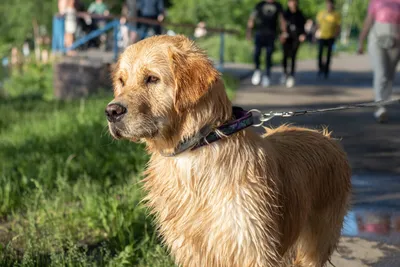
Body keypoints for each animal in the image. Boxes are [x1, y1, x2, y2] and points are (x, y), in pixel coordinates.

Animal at [105, 35, 350, 267]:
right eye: (122, 81)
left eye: (152, 78)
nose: (111, 111)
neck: (199, 145)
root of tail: (327, 137)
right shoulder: (190, 248)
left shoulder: (250, 246)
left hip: (315, 244)